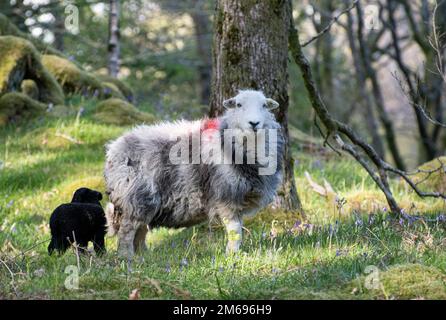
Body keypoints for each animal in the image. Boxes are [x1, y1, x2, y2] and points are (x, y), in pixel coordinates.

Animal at [104, 89, 284, 258]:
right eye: (239, 105)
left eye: (264, 105)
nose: (254, 123)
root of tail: (113, 149)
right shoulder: (226, 196)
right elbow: (235, 231)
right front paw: (232, 255)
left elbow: (238, 230)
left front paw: (235, 253)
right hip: (135, 196)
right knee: (127, 230)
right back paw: (127, 257)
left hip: (144, 201)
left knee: (140, 230)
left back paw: (142, 256)